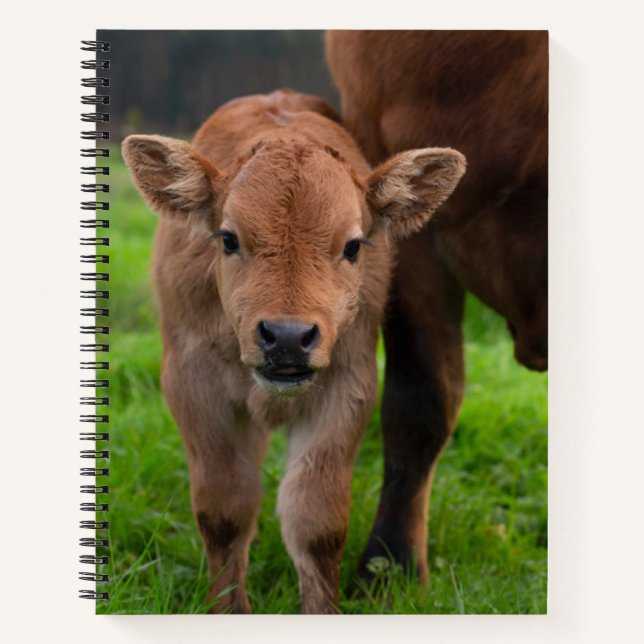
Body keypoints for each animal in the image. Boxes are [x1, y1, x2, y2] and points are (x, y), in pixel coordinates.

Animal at [121, 89, 466, 613]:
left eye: (352, 245)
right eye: (228, 238)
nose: (285, 336)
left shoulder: (347, 388)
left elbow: (317, 523)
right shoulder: (192, 387)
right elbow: (224, 511)